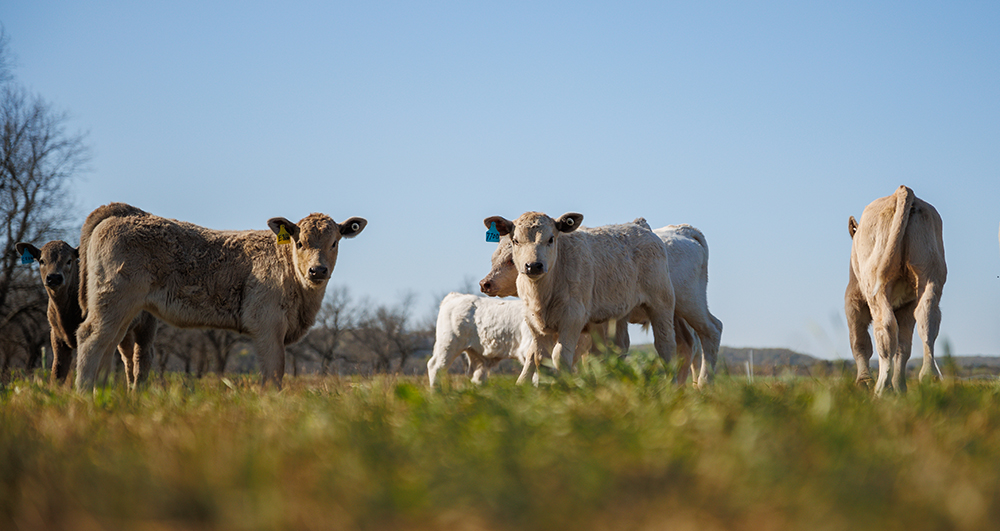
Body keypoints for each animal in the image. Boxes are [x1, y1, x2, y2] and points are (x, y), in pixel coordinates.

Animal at [15, 239, 157, 388]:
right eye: (42, 260)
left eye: (69, 261)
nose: (54, 277)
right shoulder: (57, 337)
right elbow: (58, 373)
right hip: (124, 329)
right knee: (128, 357)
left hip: (148, 323)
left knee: (142, 356)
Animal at [74, 202, 366, 390]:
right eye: (300, 242)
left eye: (334, 242)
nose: (318, 270)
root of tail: (124, 212)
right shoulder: (267, 325)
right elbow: (274, 375)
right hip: (113, 299)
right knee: (90, 339)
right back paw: (84, 397)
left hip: (124, 310)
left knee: (109, 346)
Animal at [480, 219, 722, 386]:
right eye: (494, 257)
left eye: (510, 260)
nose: (485, 283)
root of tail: (683, 229)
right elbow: (537, 354)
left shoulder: (585, 322)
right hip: (677, 314)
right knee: (687, 344)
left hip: (685, 302)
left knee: (710, 331)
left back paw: (702, 385)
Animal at [845, 185, 946, 394]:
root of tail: (902, 189)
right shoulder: (907, 304)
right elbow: (903, 346)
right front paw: (900, 387)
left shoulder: (853, 298)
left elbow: (859, 340)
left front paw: (864, 382)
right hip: (930, 270)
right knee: (927, 316)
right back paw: (929, 377)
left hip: (876, 281)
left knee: (885, 325)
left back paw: (882, 387)